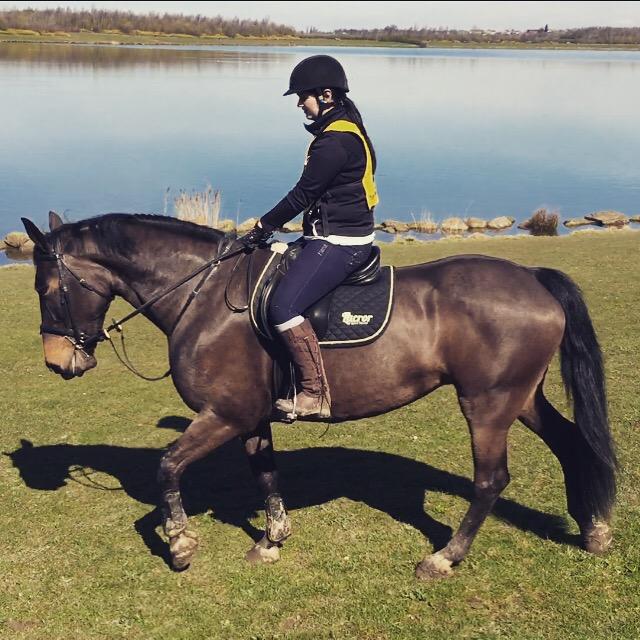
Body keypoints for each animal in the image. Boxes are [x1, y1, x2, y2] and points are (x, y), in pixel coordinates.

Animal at [21, 211, 617, 578]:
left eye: (46, 288)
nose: (55, 361)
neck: (205, 296)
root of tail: (532, 279)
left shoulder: (223, 415)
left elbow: (167, 468)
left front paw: (181, 544)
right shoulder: (250, 417)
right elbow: (265, 474)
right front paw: (272, 538)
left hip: (487, 404)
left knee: (491, 480)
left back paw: (446, 557)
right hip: (521, 396)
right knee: (571, 444)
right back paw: (593, 528)